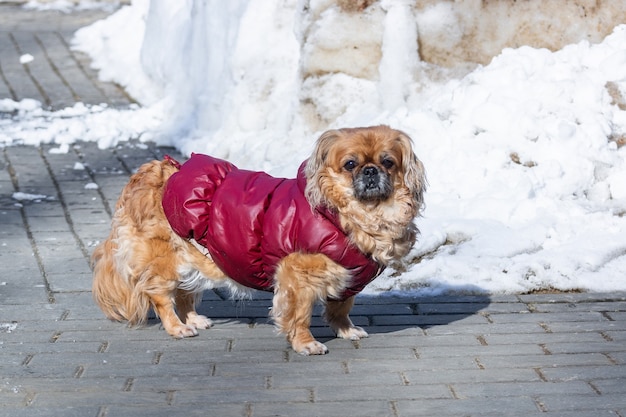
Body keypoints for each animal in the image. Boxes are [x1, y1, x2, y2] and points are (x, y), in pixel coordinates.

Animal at [91, 124, 424, 354]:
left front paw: (346, 330)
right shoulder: (297, 277)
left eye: (388, 162)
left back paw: (193, 320)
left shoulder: (348, 277)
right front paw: (306, 344)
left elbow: (340, 308)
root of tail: (152, 171)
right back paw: (177, 328)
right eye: (350, 164)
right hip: (165, 261)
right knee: (160, 296)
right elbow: (299, 315)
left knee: (185, 293)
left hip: (193, 256)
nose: (371, 171)